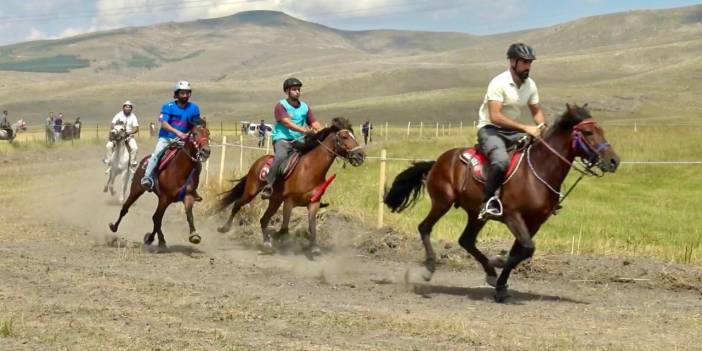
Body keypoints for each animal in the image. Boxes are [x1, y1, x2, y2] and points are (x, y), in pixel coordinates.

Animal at [217, 117, 366, 254]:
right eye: (344, 136)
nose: (360, 155)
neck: (309, 169)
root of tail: (258, 162)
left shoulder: (314, 203)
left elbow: (312, 225)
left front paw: (314, 246)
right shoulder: (289, 202)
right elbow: (284, 228)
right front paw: (278, 236)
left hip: (275, 200)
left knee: (263, 220)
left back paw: (266, 243)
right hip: (251, 191)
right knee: (237, 204)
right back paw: (224, 228)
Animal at [384, 104, 620, 302]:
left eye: (601, 131)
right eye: (588, 133)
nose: (613, 161)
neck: (538, 170)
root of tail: (438, 162)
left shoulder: (534, 222)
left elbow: (521, 251)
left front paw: (500, 285)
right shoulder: (512, 216)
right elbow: (525, 249)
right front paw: (497, 263)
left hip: (476, 213)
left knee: (466, 240)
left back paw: (489, 273)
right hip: (443, 202)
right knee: (425, 227)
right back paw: (429, 269)